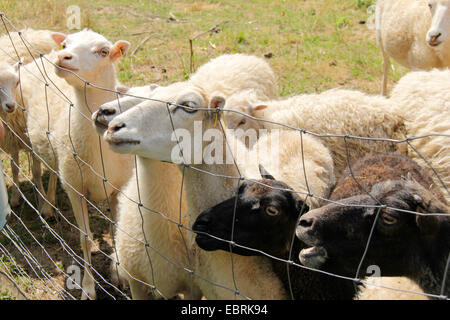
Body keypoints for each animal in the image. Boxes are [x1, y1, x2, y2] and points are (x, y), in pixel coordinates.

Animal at [23, 29, 132, 300]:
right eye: (66, 44)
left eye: (103, 51)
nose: (63, 56)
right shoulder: (75, 189)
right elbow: (84, 239)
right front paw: (88, 288)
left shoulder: (118, 189)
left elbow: (116, 231)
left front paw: (119, 275)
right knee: (38, 169)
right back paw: (45, 206)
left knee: (54, 171)